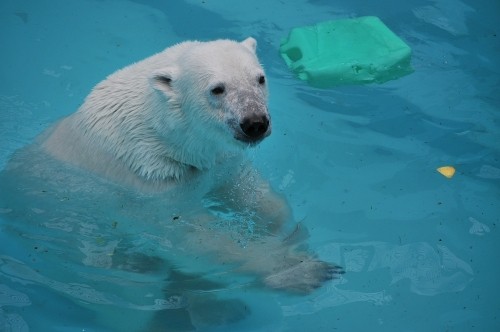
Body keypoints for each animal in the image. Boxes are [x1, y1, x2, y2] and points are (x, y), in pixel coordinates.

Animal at [0, 37, 344, 330]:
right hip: (80, 261)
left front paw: (289, 235)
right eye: (217, 89)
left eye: (259, 78)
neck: (162, 135)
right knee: (129, 297)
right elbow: (192, 236)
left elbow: (249, 191)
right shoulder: (149, 180)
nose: (255, 123)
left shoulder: (214, 161)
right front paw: (300, 271)